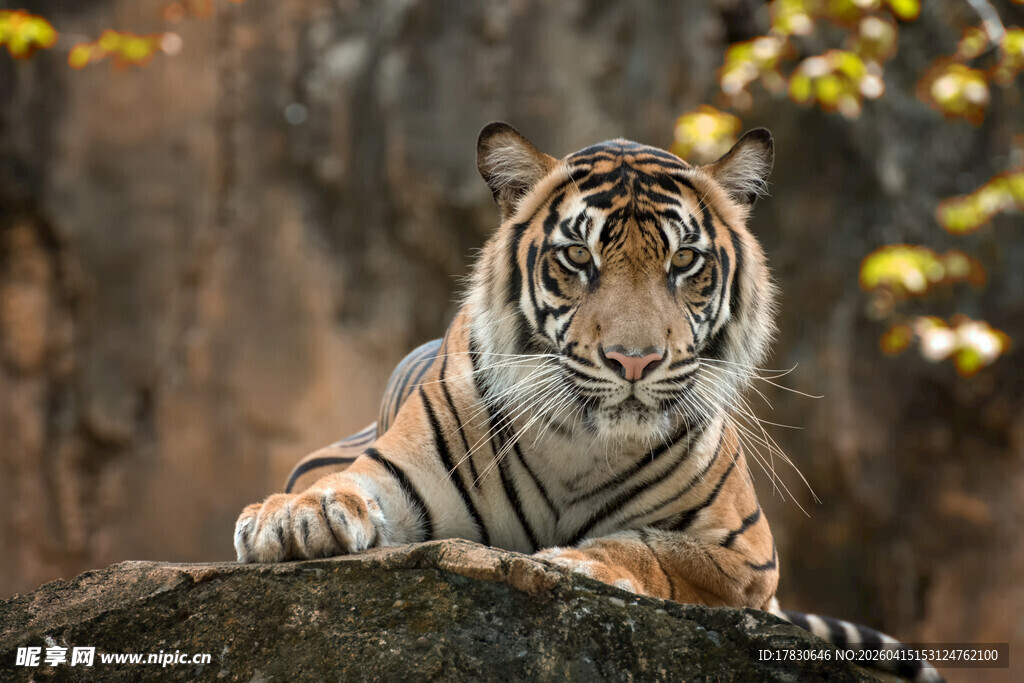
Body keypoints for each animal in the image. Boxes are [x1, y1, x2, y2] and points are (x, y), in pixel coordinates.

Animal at [234, 122, 940, 682]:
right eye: (578, 256)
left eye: (685, 261)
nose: (635, 360)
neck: (581, 443)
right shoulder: (395, 472)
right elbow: (344, 490)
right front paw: (292, 519)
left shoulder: (747, 557)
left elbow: (655, 550)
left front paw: (574, 562)